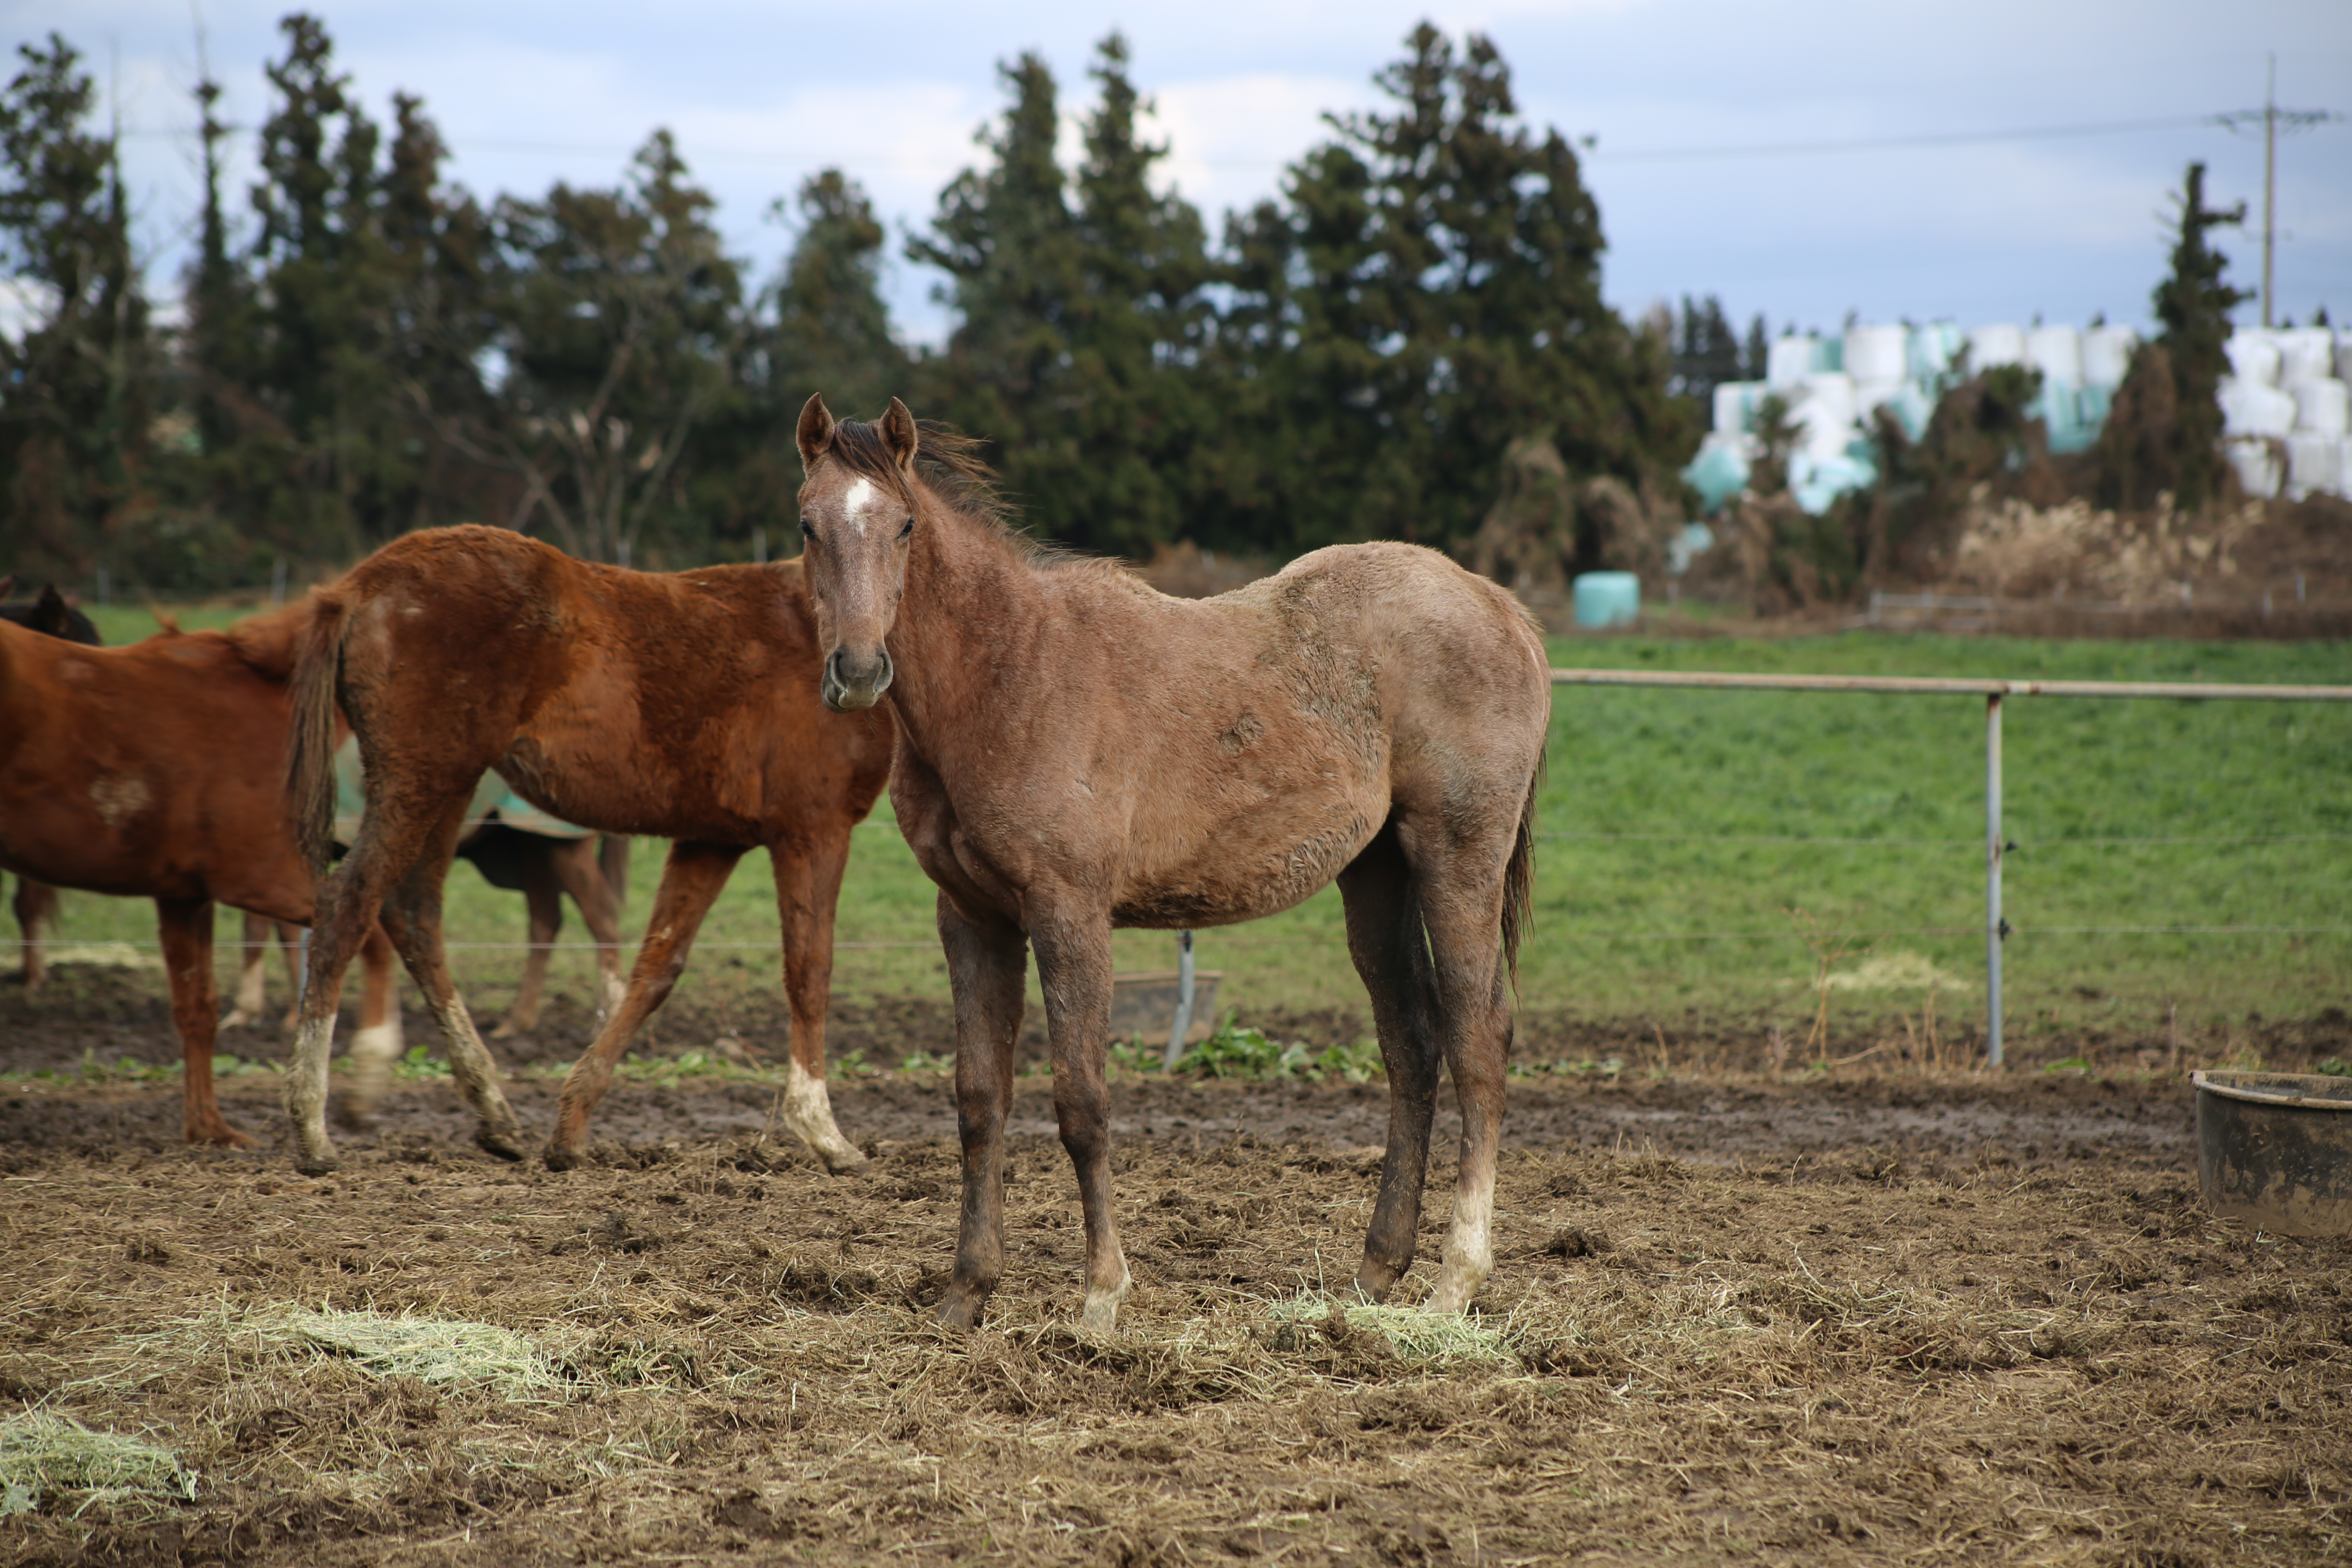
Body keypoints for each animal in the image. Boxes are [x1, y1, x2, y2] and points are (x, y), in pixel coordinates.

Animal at [0, 606, 400, 1147]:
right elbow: (372, 939)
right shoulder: (259, 881)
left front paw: (210, 1129)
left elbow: (198, 1009)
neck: (268, 693)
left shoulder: (185, 896)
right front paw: (369, 1076)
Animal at [277, 526, 898, 1175]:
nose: (858, 675)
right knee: (349, 905)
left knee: (415, 915)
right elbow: (809, 968)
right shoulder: (813, 829)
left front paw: (571, 1128)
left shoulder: (713, 839)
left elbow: (658, 967)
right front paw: (826, 1134)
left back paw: (493, 1111)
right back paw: (313, 1126)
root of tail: (358, 585)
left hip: (449, 788)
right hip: (420, 780)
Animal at [800, 399, 1552, 1335]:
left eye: (903, 525)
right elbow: (979, 1101)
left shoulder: (1069, 912)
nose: (859, 671)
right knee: (1412, 1049)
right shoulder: (972, 919)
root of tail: (1501, 608)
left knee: (1478, 1039)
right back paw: (1375, 1273)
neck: (1008, 673)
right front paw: (965, 1295)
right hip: (1376, 875)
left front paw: (1100, 1296)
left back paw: (1456, 1283)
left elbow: (1082, 1104)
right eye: (807, 525)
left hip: (1457, 854)